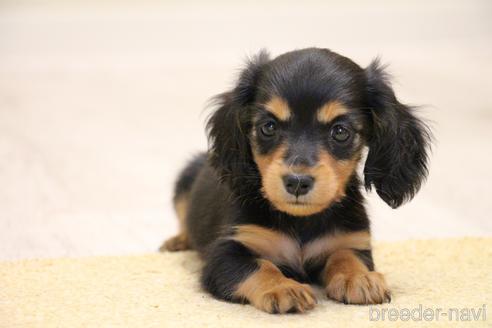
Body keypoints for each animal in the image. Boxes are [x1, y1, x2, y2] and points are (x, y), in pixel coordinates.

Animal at [160, 48, 430, 312]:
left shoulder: (352, 241)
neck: (301, 221)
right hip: (185, 178)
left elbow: (345, 256)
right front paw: (282, 288)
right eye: (268, 127)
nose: (297, 182)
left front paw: (358, 278)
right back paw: (177, 240)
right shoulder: (225, 254)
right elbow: (259, 266)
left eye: (340, 131)